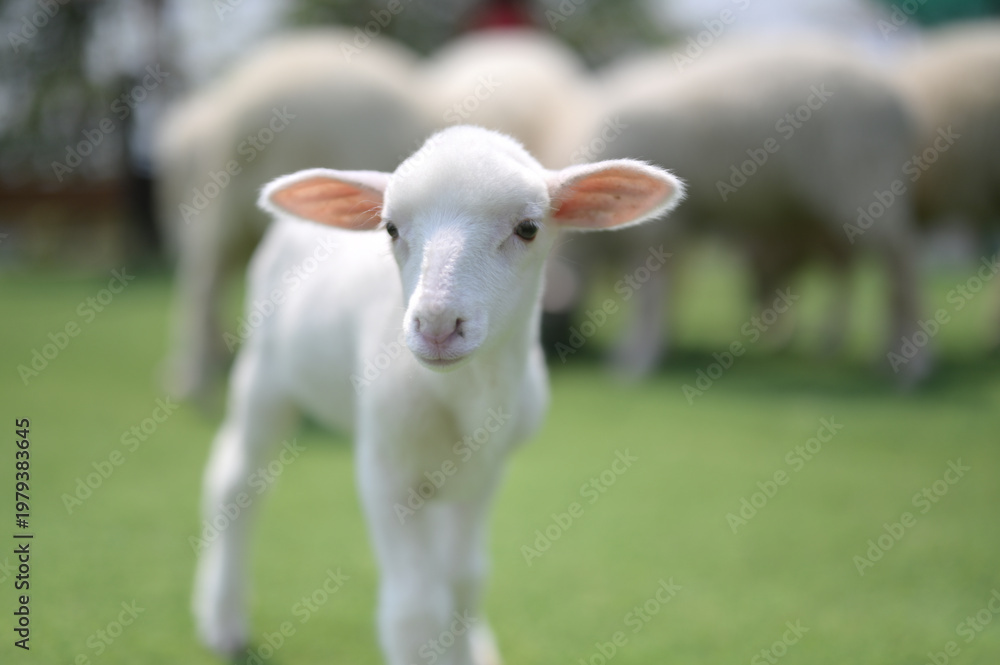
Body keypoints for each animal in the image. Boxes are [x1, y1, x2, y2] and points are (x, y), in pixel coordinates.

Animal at [192, 125, 684, 664]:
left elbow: (465, 579)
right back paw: (224, 619)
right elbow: (415, 606)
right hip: (266, 372)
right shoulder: (384, 471)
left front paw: (465, 646)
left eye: (528, 228)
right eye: (390, 228)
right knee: (238, 483)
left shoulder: (485, 472)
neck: (464, 396)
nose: (436, 325)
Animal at [549, 38, 929, 383]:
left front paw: (633, 362)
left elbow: (648, 300)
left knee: (902, 268)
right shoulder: (675, 232)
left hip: (865, 185)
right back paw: (880, 355)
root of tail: (893, 97)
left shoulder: (652, 234)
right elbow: (667, 292)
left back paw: (911, 366)